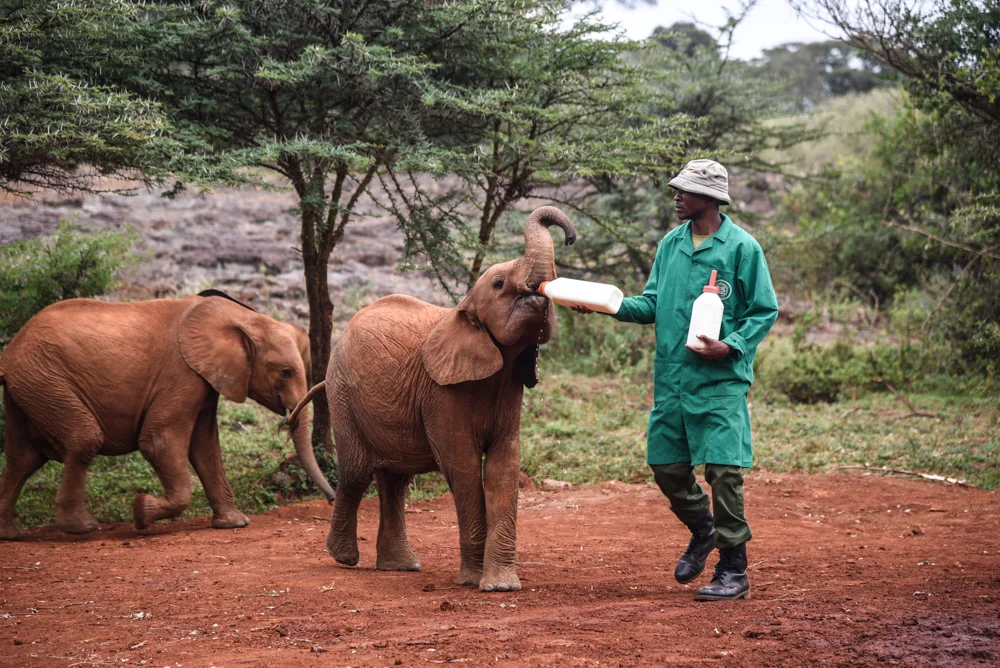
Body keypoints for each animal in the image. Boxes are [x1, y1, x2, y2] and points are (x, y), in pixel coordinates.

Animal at [0, 293, 336, 539]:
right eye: (286, 372)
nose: (332, 500)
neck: (238, 316)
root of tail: (11, 351)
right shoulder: (181, 374)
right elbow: (159, 442)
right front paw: (140, 512)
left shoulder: (205, 379)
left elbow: (205, 447)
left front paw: (235, 523)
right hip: (45, 378)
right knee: (82, 440)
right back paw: (81, 528)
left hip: (30, 385)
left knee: (23, 457)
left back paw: (10, 535)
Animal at [287, 206, 576, 592]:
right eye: (499, 284)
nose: (571, 237)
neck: (463, 306)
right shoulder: (441, 393)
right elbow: (463, 466)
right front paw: (473, 582)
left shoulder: (510, 385)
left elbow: (503, 467)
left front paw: (501, 585)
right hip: (343, 394)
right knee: (355, 472)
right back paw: (344, 557)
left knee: (394, 481)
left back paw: (400, 566)